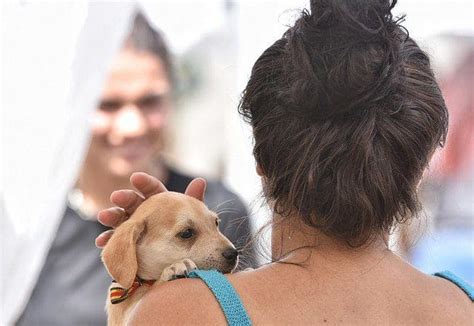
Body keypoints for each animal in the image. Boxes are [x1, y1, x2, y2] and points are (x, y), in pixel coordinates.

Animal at [102, 192, 239, 324]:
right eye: (186, 233)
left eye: (216, 223)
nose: (234, 254)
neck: (141, 283)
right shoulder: (124, 318)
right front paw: (175, 267)